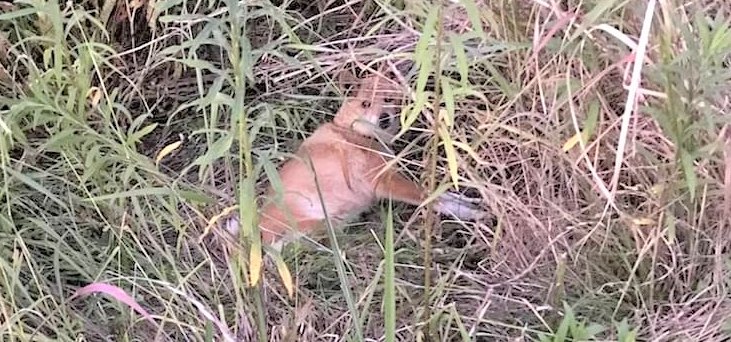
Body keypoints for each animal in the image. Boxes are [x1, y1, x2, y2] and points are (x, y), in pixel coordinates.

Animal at [226, 69, 484, 251]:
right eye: (365, 103)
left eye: (389, 99)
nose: (384, 118)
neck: (356, 134)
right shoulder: (385, 181)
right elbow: (433, 199)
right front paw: (469, 214)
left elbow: (443, 194)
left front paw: (470, 202)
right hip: (315, 224)